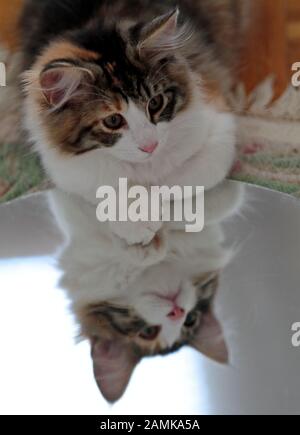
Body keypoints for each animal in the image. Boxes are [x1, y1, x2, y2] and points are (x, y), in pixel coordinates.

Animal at [19, 0, 247, 258]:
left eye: (155, 103)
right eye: (113, 121)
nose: (150, 146)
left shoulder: (218, 128)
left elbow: (172, 182)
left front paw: (148, 204)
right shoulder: (67, 168)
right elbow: (108, 185)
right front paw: (134, 218)